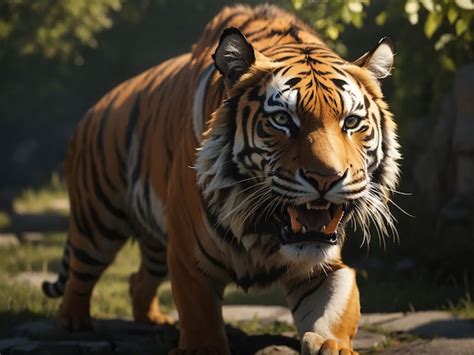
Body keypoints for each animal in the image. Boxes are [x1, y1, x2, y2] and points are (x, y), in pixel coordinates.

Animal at [41, 3, 400, 355]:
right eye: (282, 120)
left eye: (350, 122)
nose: (326, 178)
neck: (265, 230)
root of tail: (93, 109)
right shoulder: (189, 260)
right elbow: (201, 322)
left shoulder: (324, 265)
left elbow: (334, 311)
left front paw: (331, 345)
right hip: (98, 221)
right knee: (80, 273)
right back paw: (73, 322)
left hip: (155, 243)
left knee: (137, 279)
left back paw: (154, 320)